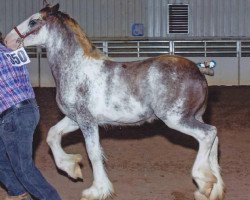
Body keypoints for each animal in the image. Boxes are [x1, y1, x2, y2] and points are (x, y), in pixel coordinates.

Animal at [4, 3, 225, 200]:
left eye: (33, 21)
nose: (8, 39)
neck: (76, 68)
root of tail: (199, 71)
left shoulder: (87, 122)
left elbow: (93, 153)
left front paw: (96, 191)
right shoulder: (75, 119)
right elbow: (52, 135)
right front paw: (72, 167)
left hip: (176, 119)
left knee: (208, 134)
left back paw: (204, 182)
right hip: (194, 117)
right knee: (213, 140)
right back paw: (214, 189)